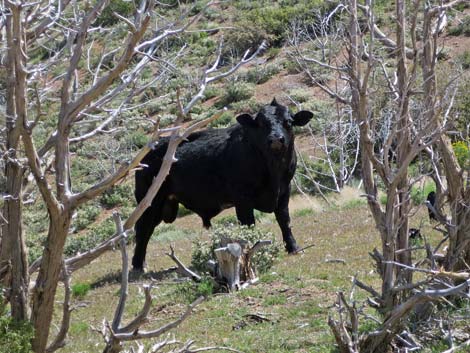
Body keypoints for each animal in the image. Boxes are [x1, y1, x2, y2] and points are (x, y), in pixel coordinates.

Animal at [132, 99, 314, 270]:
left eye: (288, 122)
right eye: (261, 123)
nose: (276, 138)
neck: (273, 170)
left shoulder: (284, 191)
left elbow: (284, 220)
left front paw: (293, 247)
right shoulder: (243, 200)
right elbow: (248, 225)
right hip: (150, 202)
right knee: (143, 230)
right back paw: (138, 265)